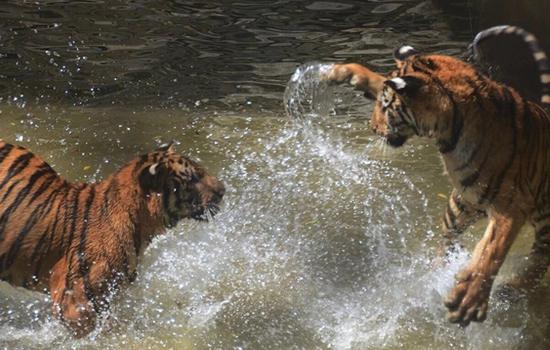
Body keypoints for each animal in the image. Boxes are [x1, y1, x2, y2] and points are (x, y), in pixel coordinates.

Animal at [326, 26, 550, 326]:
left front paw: (468, 301)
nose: (372, 128)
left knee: (539, 258)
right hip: (461, 204)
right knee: (447, 241)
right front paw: (339, 72)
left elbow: (492, 250)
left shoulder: (511, 205)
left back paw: (512, 290)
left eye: (385, 107)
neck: (449, 130)